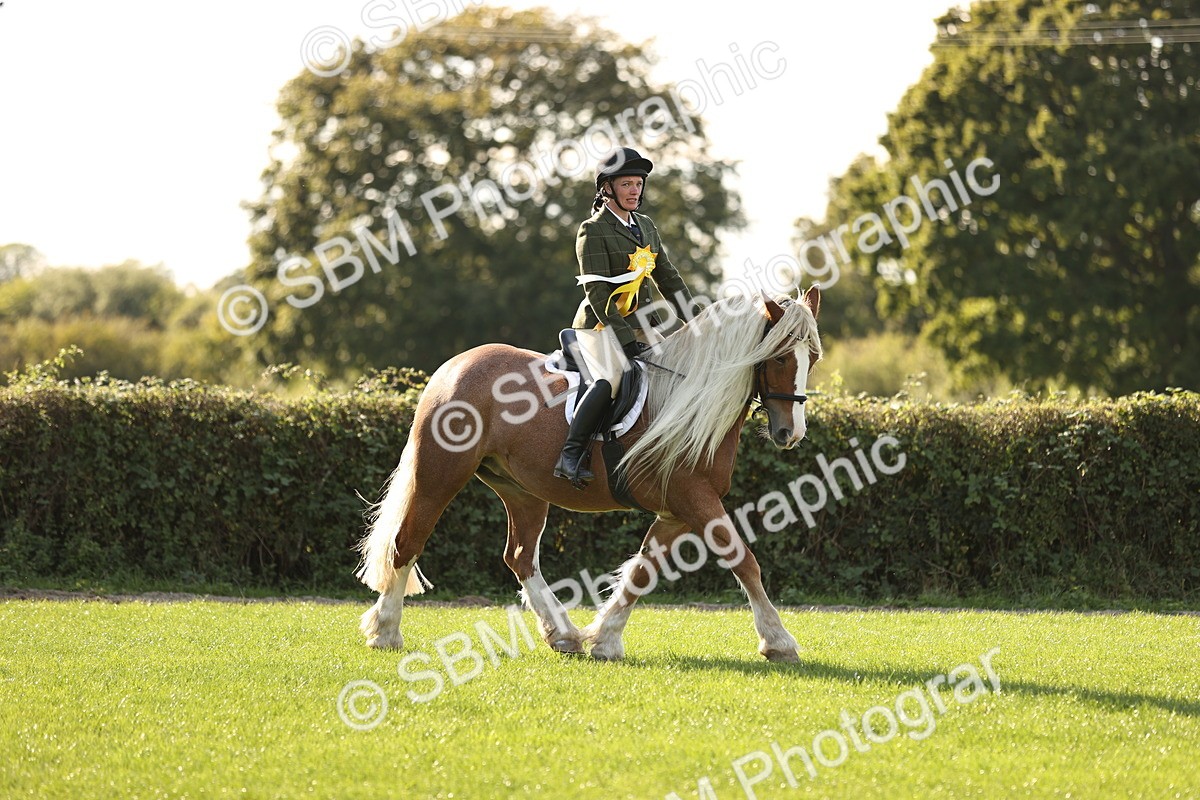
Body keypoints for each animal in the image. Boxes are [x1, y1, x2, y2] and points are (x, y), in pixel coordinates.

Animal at [356, 286, 822, 662]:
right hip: (440, 475)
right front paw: (778, 641)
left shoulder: (675, 510)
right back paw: (386, 633)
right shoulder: (695, 498)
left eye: (812, 358)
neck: (691, 397)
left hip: (522, 491)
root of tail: (453, 367)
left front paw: (606, 639)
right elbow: (744, 560)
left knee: (520, 557)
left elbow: (641, 572)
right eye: (781, 357)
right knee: (407, 542)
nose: (791, 433)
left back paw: (563, 635)